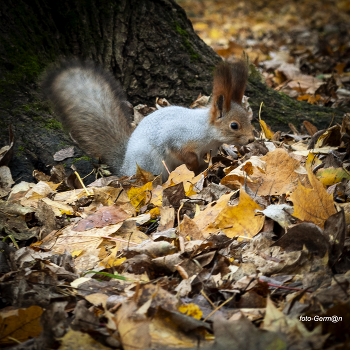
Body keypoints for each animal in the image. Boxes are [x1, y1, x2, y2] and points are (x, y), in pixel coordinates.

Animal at [41, 58, 254, 180]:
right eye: (234, 125)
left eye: (248, 117)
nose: (252, 139)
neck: (206, 132)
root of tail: (125, 167)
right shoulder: (177, 138)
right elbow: (183, 153)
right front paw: (196, 165)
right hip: (150, 162)